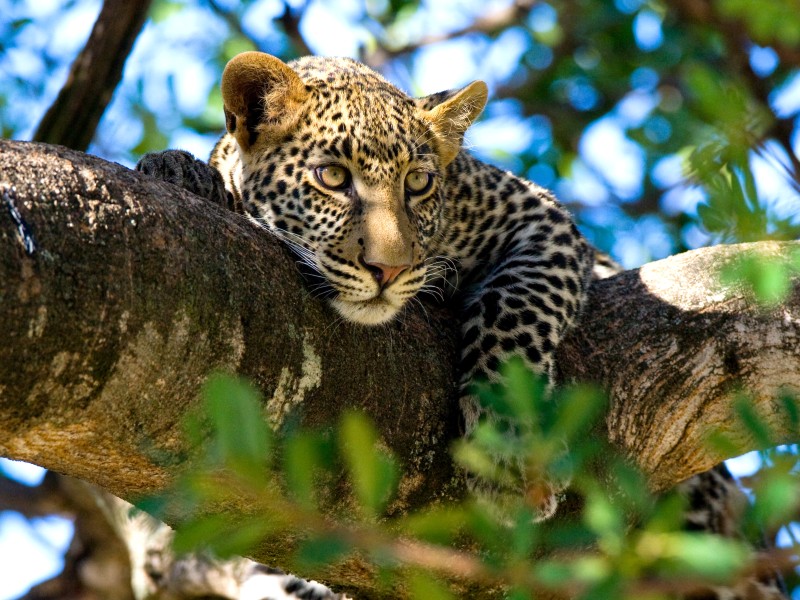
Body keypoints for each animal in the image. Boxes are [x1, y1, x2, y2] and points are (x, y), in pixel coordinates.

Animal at [137, 52, 787, 599]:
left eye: (419, 183)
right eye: (332, 178)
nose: (389, 269)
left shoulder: (538, 218)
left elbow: (516, 306)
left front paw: (507, 447)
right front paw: (179, 171)